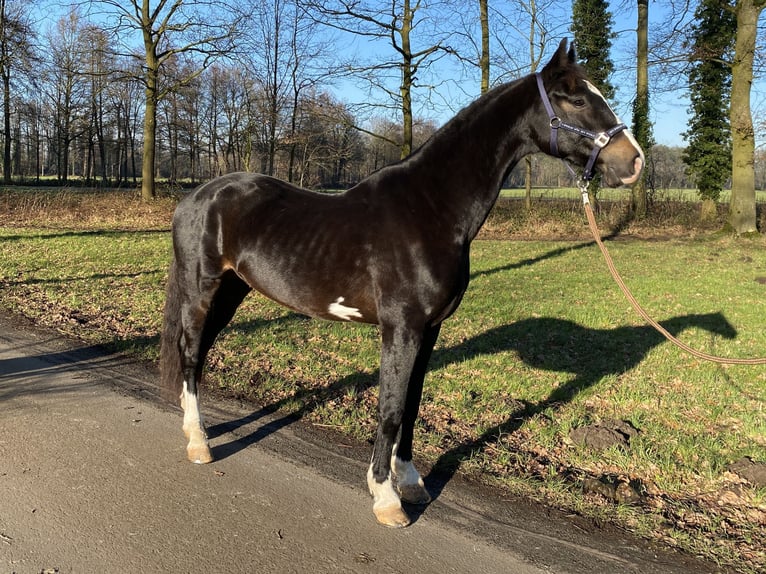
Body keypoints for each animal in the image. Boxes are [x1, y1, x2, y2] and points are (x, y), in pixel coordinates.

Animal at [159, 38, 644, 528]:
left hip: (233, 291)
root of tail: (195, 196)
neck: (430, 210)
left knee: (199, 354)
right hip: (203, 291)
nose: (634, 160)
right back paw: (199, 442)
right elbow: (390, 409)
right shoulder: (402, 327)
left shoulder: (430, 329)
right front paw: (386, 497)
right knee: (191, 353)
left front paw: (410, 481)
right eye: (576, 99)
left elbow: (411, 405)